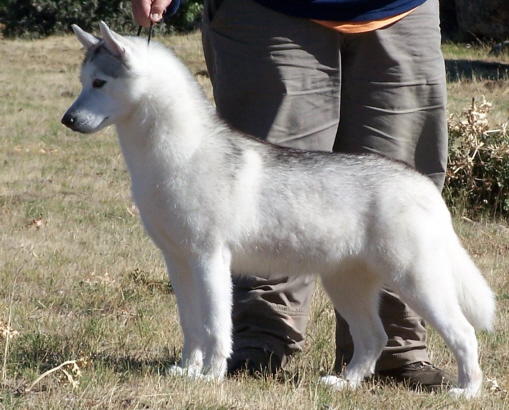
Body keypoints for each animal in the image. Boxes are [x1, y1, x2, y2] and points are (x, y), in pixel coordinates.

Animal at [61, 21, 494, 398]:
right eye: (83, 83)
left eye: (100, 83)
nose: (67, 119)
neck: (175, 154)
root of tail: (422, 184)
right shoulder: (177, 261)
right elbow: (191, 326)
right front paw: (186, 371)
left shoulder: (209, 259)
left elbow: (216, 327)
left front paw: (210, 377)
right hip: (346, 285)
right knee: (374, 338)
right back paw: (345, 383)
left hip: (416, 282)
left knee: (463, 333)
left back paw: (466, 390)